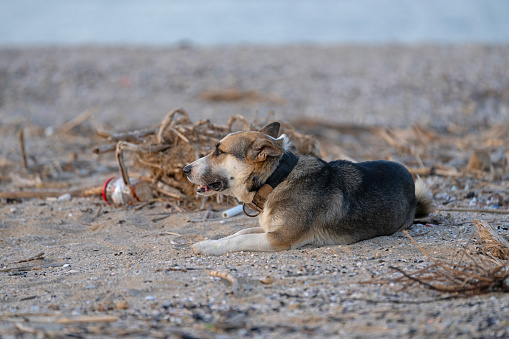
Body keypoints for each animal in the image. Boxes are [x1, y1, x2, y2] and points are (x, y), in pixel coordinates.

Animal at [184, 122, 432, 255]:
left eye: (219, 152)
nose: (185, 169)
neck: (275, 180)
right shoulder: (268, 230)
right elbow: (238, 233)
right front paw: (212, 241)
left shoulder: (280, 238)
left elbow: (238, 240)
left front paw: (206, 246)